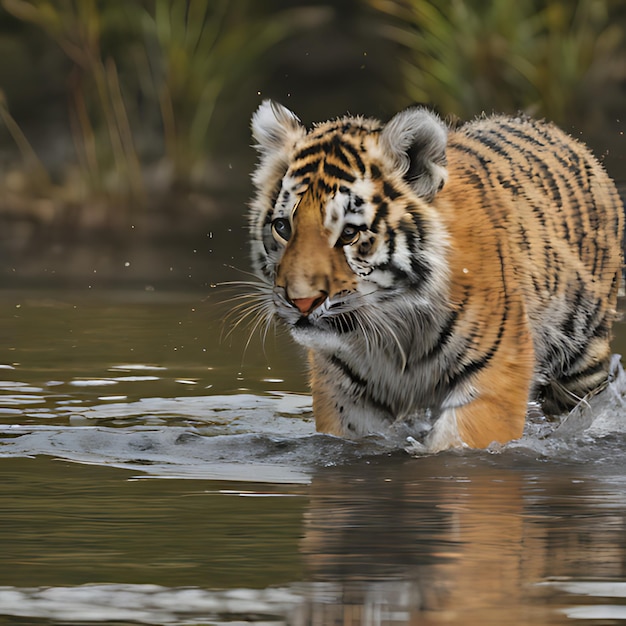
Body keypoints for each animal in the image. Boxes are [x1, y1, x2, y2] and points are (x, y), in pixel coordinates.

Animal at [246, 98, 620, 448]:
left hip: (581, 359)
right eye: (283, 227)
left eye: (349, 233)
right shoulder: (344, 393)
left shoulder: (494, 377)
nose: (301, 302)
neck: (395, 331)